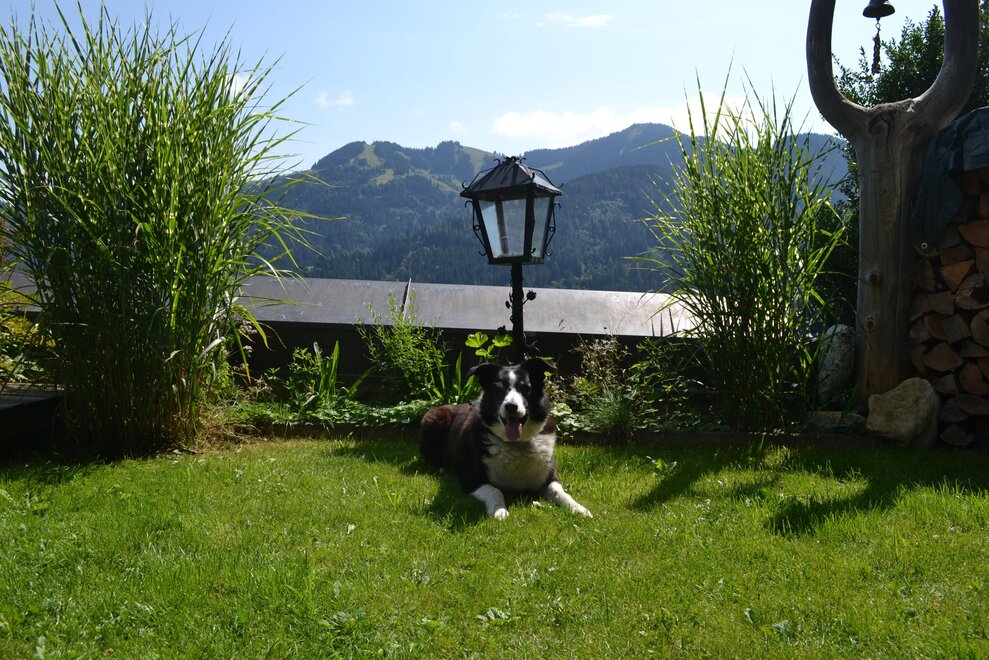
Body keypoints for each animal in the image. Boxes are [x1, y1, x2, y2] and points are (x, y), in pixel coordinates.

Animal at [419, 358, 591, 520]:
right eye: (498, 389)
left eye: (525, 389)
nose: (511, 406)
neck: (516, 444)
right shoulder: (470, 478)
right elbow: (495, 491)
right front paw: (499, 511)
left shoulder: (548, 475)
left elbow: (560, 492)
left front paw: (578, 508)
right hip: (436, 417)